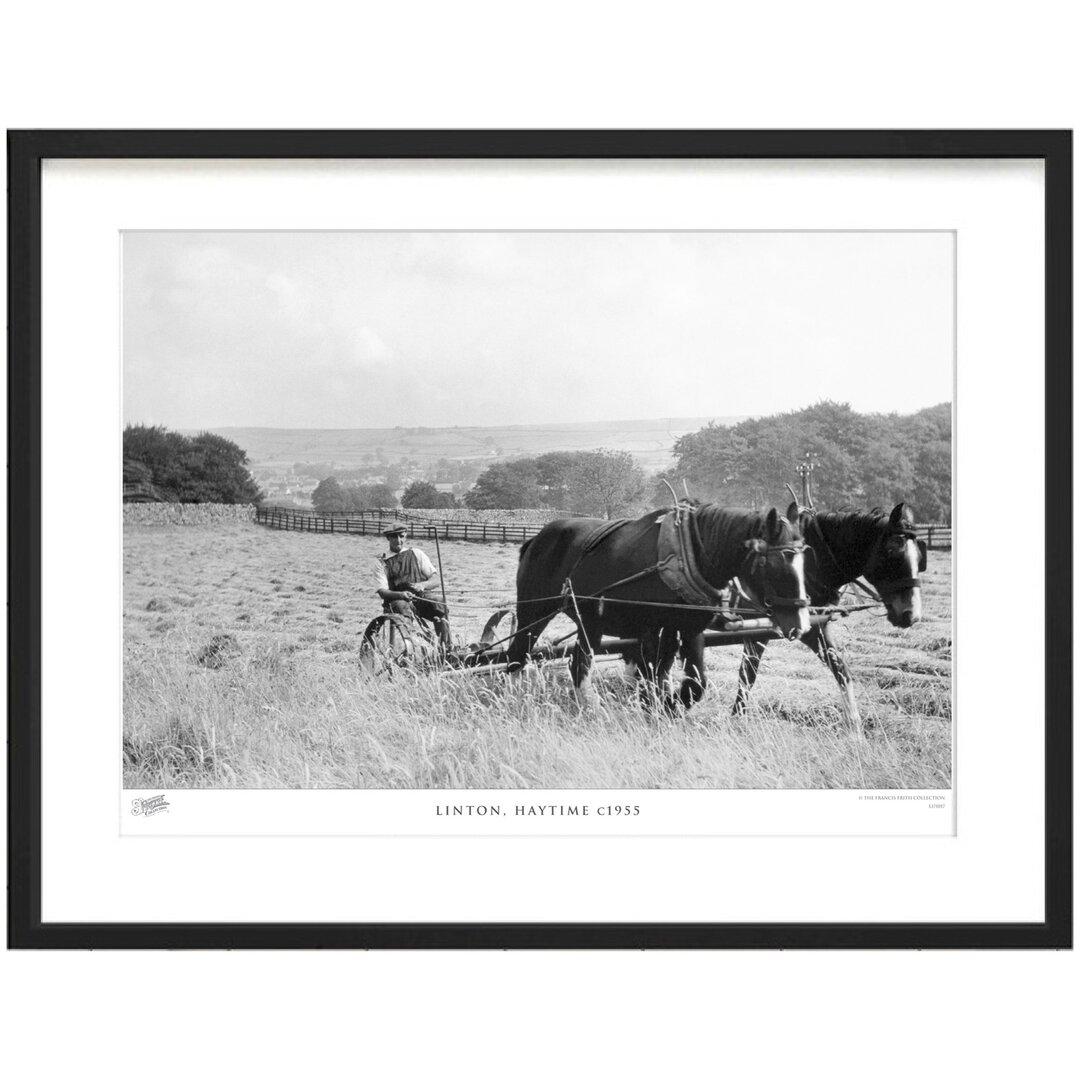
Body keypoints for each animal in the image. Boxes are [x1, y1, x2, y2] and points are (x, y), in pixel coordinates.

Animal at [507, 505, 812, 708]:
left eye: (804, 562)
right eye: (776, 565)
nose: (801, 625)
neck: (687, 557)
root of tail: (536, 538)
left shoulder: (687, 629)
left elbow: (693, 682)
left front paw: (670, 706)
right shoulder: (652, 631)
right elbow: (651, 676)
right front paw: (656, 705)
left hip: (590, 620)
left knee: (577, 661)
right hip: (534, 612)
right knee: (520, 655)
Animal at [734, 501, 928, 730]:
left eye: (920, 558)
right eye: (891, 552)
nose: (911, 615)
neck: (812, 563)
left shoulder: (817, 626)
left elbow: (842, 670)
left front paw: (854, 725)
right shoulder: (759, 631)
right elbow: (748, 674)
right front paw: (736, 718)